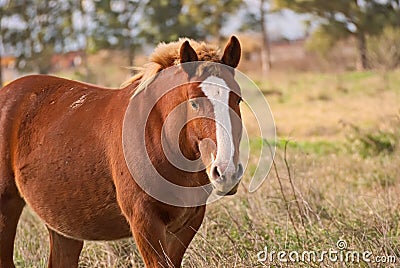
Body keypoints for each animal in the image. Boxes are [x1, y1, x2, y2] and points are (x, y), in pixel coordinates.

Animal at [0, 36, 242, 266]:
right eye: (194, 103)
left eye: (238, 99)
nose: (227, 172)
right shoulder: (145, 222)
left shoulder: (187, 223)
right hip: (7, 208)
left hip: (62, 222)